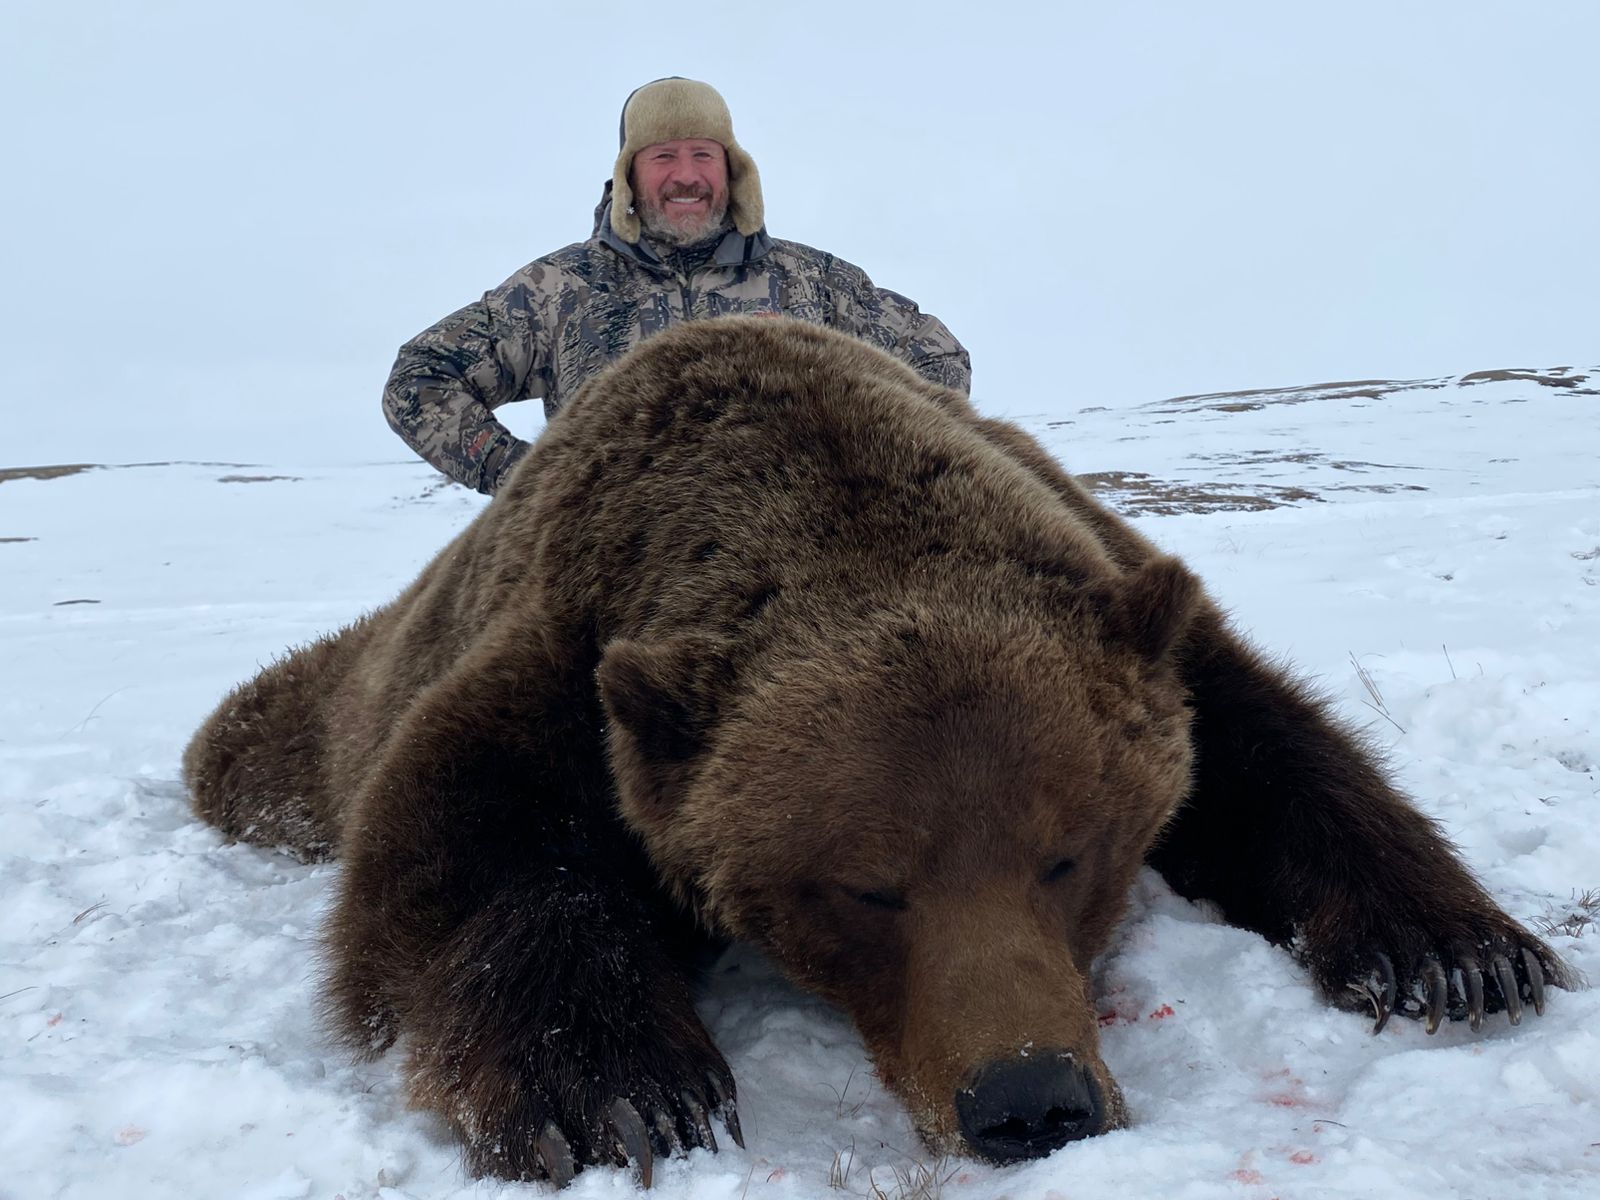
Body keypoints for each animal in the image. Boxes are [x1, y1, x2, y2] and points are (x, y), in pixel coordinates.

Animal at [184, 316, 1572, 1187]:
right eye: (865, 886)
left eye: (1070, 854)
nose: (1030, 1101)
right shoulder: (565, 658)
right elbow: (462, 859)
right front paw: (620, 1087)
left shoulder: (1119, 590)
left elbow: (1273, 752)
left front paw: (1455, 954)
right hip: (315, 721)